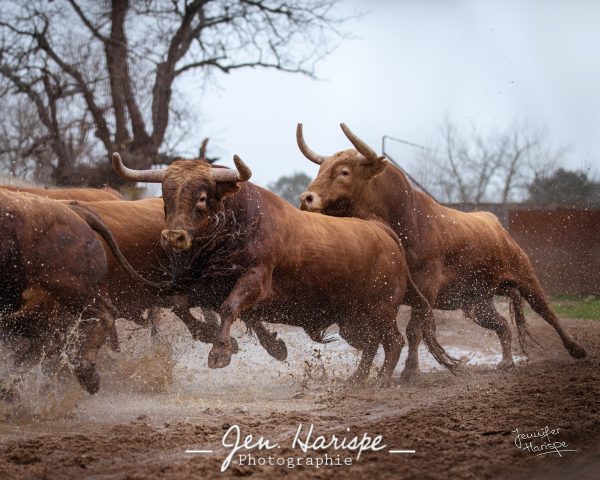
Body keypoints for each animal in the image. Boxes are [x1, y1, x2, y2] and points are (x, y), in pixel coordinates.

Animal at [110, 152, 452, 384]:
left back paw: (379, 380)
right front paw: (249, 342)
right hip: (353, 319)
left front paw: (220, 352)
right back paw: (357, 379)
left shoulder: (255, 278)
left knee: (393, 341)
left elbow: (230, 307)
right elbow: (182, 305)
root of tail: (382, 230)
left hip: (380, 308)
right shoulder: (207, 284)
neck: (237, 223)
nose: (174, 236)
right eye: (166, 195)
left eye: (203, 197)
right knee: (370, 344)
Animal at [296, 121, 584, 376]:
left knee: (546, 311)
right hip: (476, 302)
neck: (406, 220)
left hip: (525, 276)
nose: (306, 198)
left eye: (344, 172)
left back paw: (576, 349)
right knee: (502, 325)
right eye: (320, 169)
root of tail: (495, 223)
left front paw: (410, 371)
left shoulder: (425, 288)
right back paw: (506, 362)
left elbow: (414, 331)